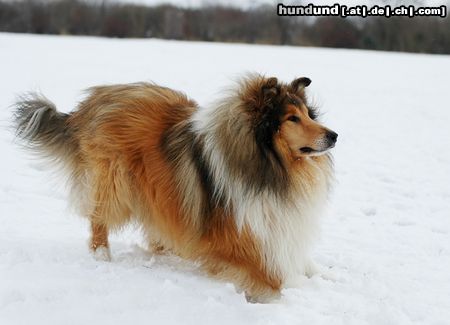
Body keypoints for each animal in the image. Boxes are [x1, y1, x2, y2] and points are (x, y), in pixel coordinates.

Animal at [13, 73, 338, 302]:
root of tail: (90, 103)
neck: (269, 167)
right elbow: (274, 277)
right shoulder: (238, 236)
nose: (334, 135)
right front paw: (291, 287)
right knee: (98, 217)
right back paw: (102, 255)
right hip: (116, 182)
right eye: (292, 118)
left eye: (308, 114)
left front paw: (323, 274)